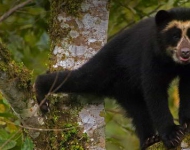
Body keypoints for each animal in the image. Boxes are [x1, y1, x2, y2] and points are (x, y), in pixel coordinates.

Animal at [35, 7, 190, 150]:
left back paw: (149, 140)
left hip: (126, 89)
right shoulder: (151, 54)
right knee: (83, 78)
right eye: (175, 36)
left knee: (138, 111)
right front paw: (172, 135)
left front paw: (186, 124)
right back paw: (41, 92)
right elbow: (155, 90)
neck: (173, 62)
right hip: (108, 64)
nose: (186, 52)